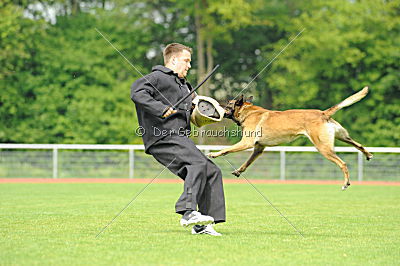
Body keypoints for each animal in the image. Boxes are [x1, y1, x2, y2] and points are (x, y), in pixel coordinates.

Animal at [208, 87, 374, 189]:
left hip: (323, 148)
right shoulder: (259, 148)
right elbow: (247, 162)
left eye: (227, 105)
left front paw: (214, 154)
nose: (217, 107)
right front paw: (238, 171)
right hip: (343, 137)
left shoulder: (246, 142)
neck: (247, 111)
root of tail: (323, 113)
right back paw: (368, 154)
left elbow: (226, 150)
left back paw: (346, 183)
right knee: (358, 145)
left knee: (343, 163)